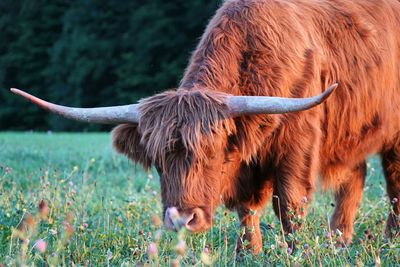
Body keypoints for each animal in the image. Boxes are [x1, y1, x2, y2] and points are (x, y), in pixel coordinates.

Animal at [10, 0, 400, 254]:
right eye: (157, 162)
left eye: (212, 154)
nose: (182, 220)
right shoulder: (247, 167)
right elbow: (246, 210)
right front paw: (248, 254)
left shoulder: (298, 145)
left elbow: (289, 207)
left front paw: (297, 254)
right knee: (355, 177)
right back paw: (340, 241)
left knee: (393, 184)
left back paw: (387, 241)